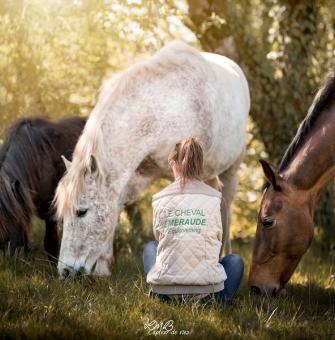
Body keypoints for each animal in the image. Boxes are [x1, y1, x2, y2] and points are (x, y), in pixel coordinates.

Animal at [54, 41, 249, 278]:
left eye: (81, 212)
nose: (65, 271)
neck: (166, 109)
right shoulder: (133, 175)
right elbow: (115, 208)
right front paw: (102, 266)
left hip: (232, 171)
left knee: (227, 209)